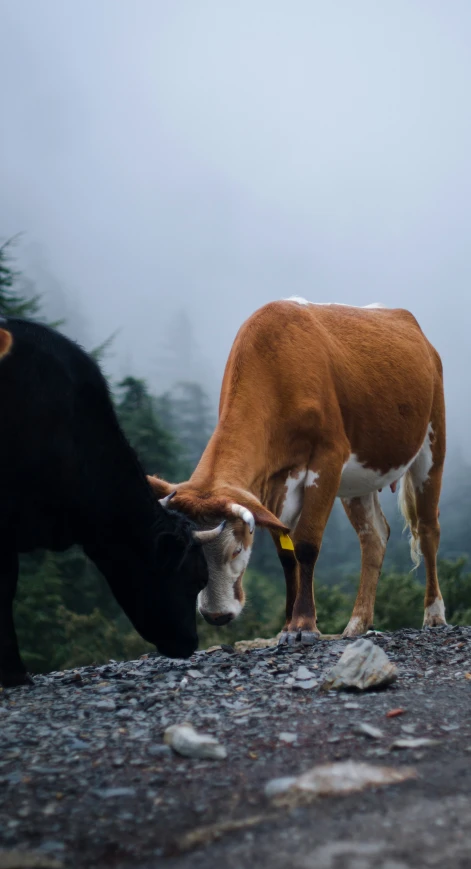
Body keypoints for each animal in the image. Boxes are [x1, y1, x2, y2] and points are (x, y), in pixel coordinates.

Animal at [148, 302, 446, 640]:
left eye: (236, 551)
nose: (216, 615)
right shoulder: (275, 482)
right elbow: (285, 552)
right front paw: (288, 625)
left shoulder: (329, 458)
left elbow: (305, 544)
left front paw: (304, 623)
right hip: (359, 478)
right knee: (374, 536)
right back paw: (357, 624)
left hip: (432, 441)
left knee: (427, 528)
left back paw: (434, 614)